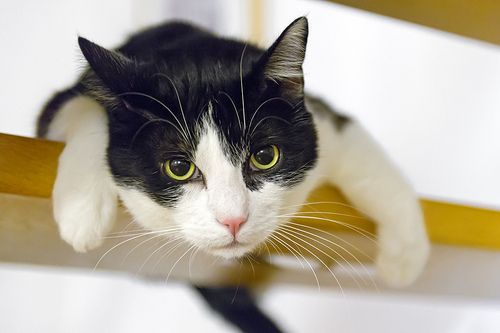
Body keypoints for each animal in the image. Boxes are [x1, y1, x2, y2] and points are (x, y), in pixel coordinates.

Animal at [38, 17, 430, 330]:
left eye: (265, 157)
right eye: (179, 167)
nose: (233, 220)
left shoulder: (320, 119)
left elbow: (360, 150)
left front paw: (406, 256)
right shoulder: (61, 105)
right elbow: (83, 105)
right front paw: (81, 208)